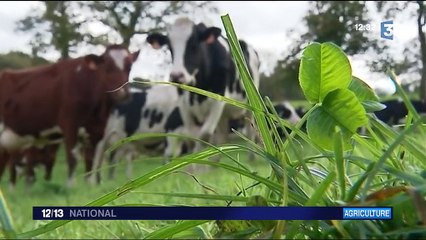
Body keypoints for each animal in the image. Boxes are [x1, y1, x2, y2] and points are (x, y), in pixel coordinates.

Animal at [0, 44, 140, 188]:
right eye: (106, 67)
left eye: (129, 66)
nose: (122, 94)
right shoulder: (69, 125)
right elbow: (72, 157)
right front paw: (71, 186)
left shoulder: (97, 130)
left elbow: (90, 159)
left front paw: (89, 185)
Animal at [146, 17, 260, 159]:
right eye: (169, 47)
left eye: (194, 44)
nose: (177, 75)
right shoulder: (183, 104)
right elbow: (191, 138)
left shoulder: (218, 100)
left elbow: (204, 135)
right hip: (223, 115)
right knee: (222, 134)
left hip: (250, 104)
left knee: (250, 129)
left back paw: (252, 158)